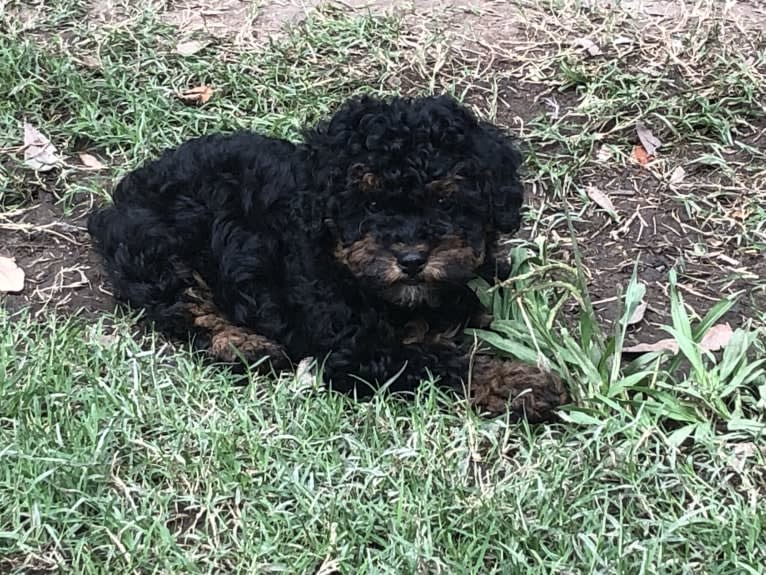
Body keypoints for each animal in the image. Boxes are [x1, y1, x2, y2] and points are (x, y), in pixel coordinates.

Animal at [88, 94, 568, 424]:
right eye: (370, 205)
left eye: (445, 203)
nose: (412, 259)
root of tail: (122, 197)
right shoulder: (356, 350)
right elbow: (436, 360)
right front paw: (518, 383)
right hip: (162, 248)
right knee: (185, 305)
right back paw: (247, 345)